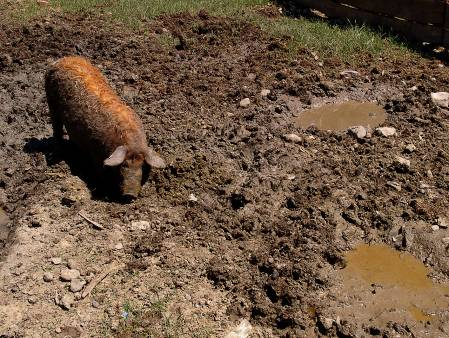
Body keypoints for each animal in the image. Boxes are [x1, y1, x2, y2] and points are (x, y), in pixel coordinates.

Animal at [45, 54, 165, 198]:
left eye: (141, 165)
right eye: (124, 165)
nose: (130, 194)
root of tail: (63, 59)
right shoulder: (96, 154)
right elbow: (100, 173)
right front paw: (106, 192)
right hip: (51, 102)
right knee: (56, 128)